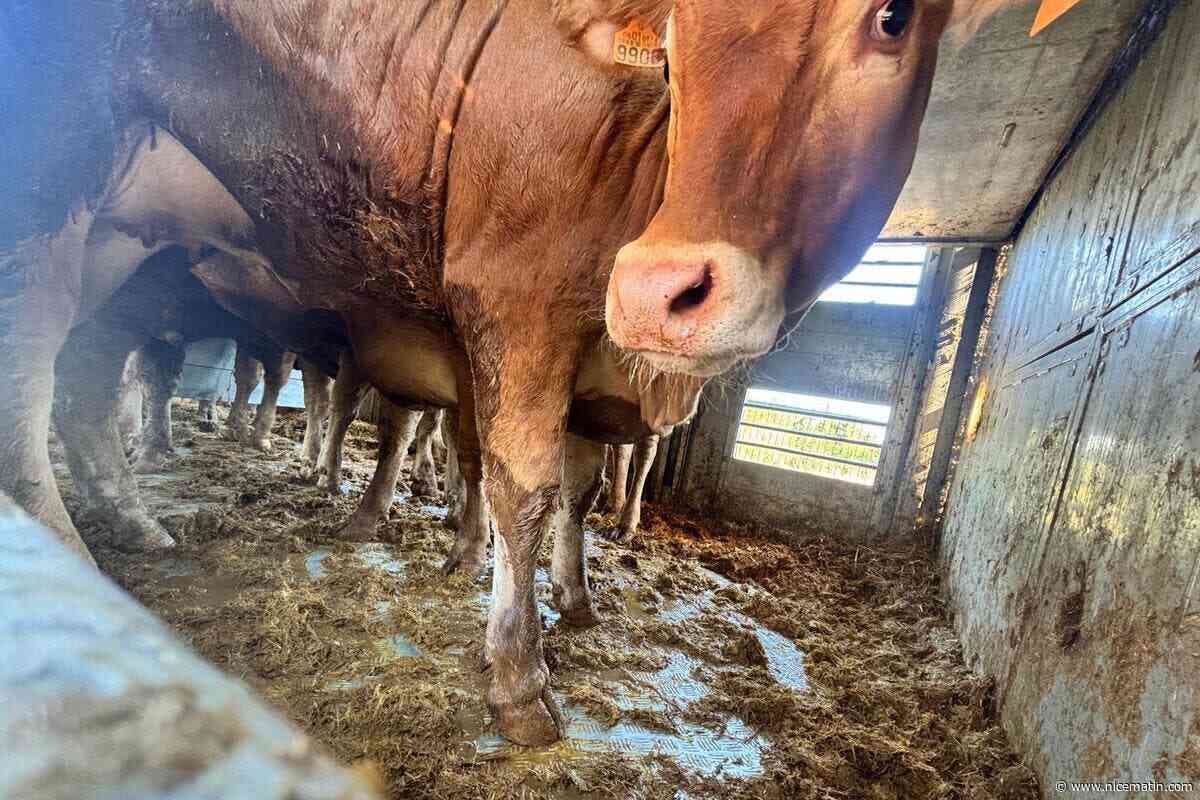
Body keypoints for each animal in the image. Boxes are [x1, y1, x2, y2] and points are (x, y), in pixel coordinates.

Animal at [0, 0, 1024, 744]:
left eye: (891, 18)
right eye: (674, 51)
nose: (661, 290)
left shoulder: (589, 379)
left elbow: (575, 491)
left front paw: (575, 598)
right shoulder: (512, 308)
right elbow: (517, 486)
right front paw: (517, 677)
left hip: (133, 249)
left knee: (90, 380)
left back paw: (135, 525)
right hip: (54, 177)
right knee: (32, 375)